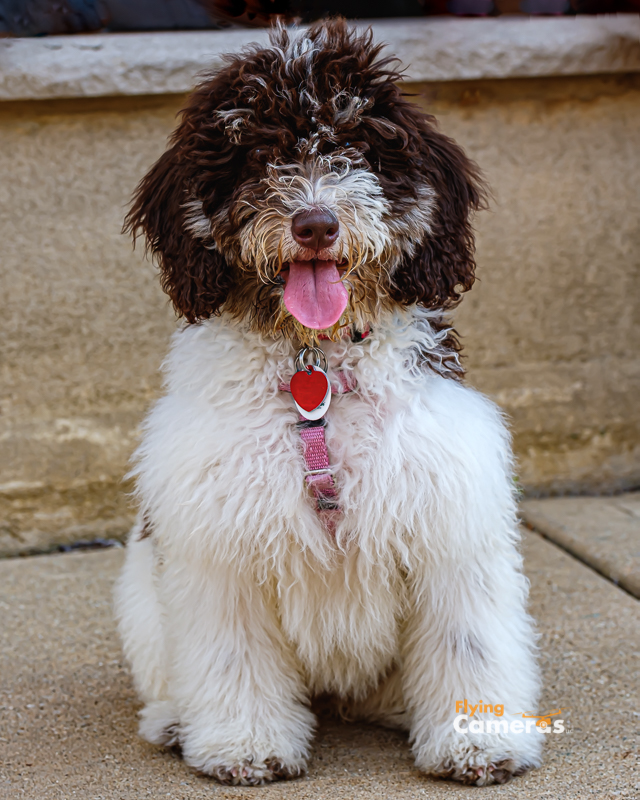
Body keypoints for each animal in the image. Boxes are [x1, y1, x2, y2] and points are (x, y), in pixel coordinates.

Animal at [114, 18, 540, 788]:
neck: (314, 370)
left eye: (357, 147)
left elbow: (468, 642)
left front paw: (477, 742)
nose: (315, 223)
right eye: (258, 154)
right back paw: (172, 722)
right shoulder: (218, 540)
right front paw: (245, 746)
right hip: (139, 592)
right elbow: (233, 656)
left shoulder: (449, 517)